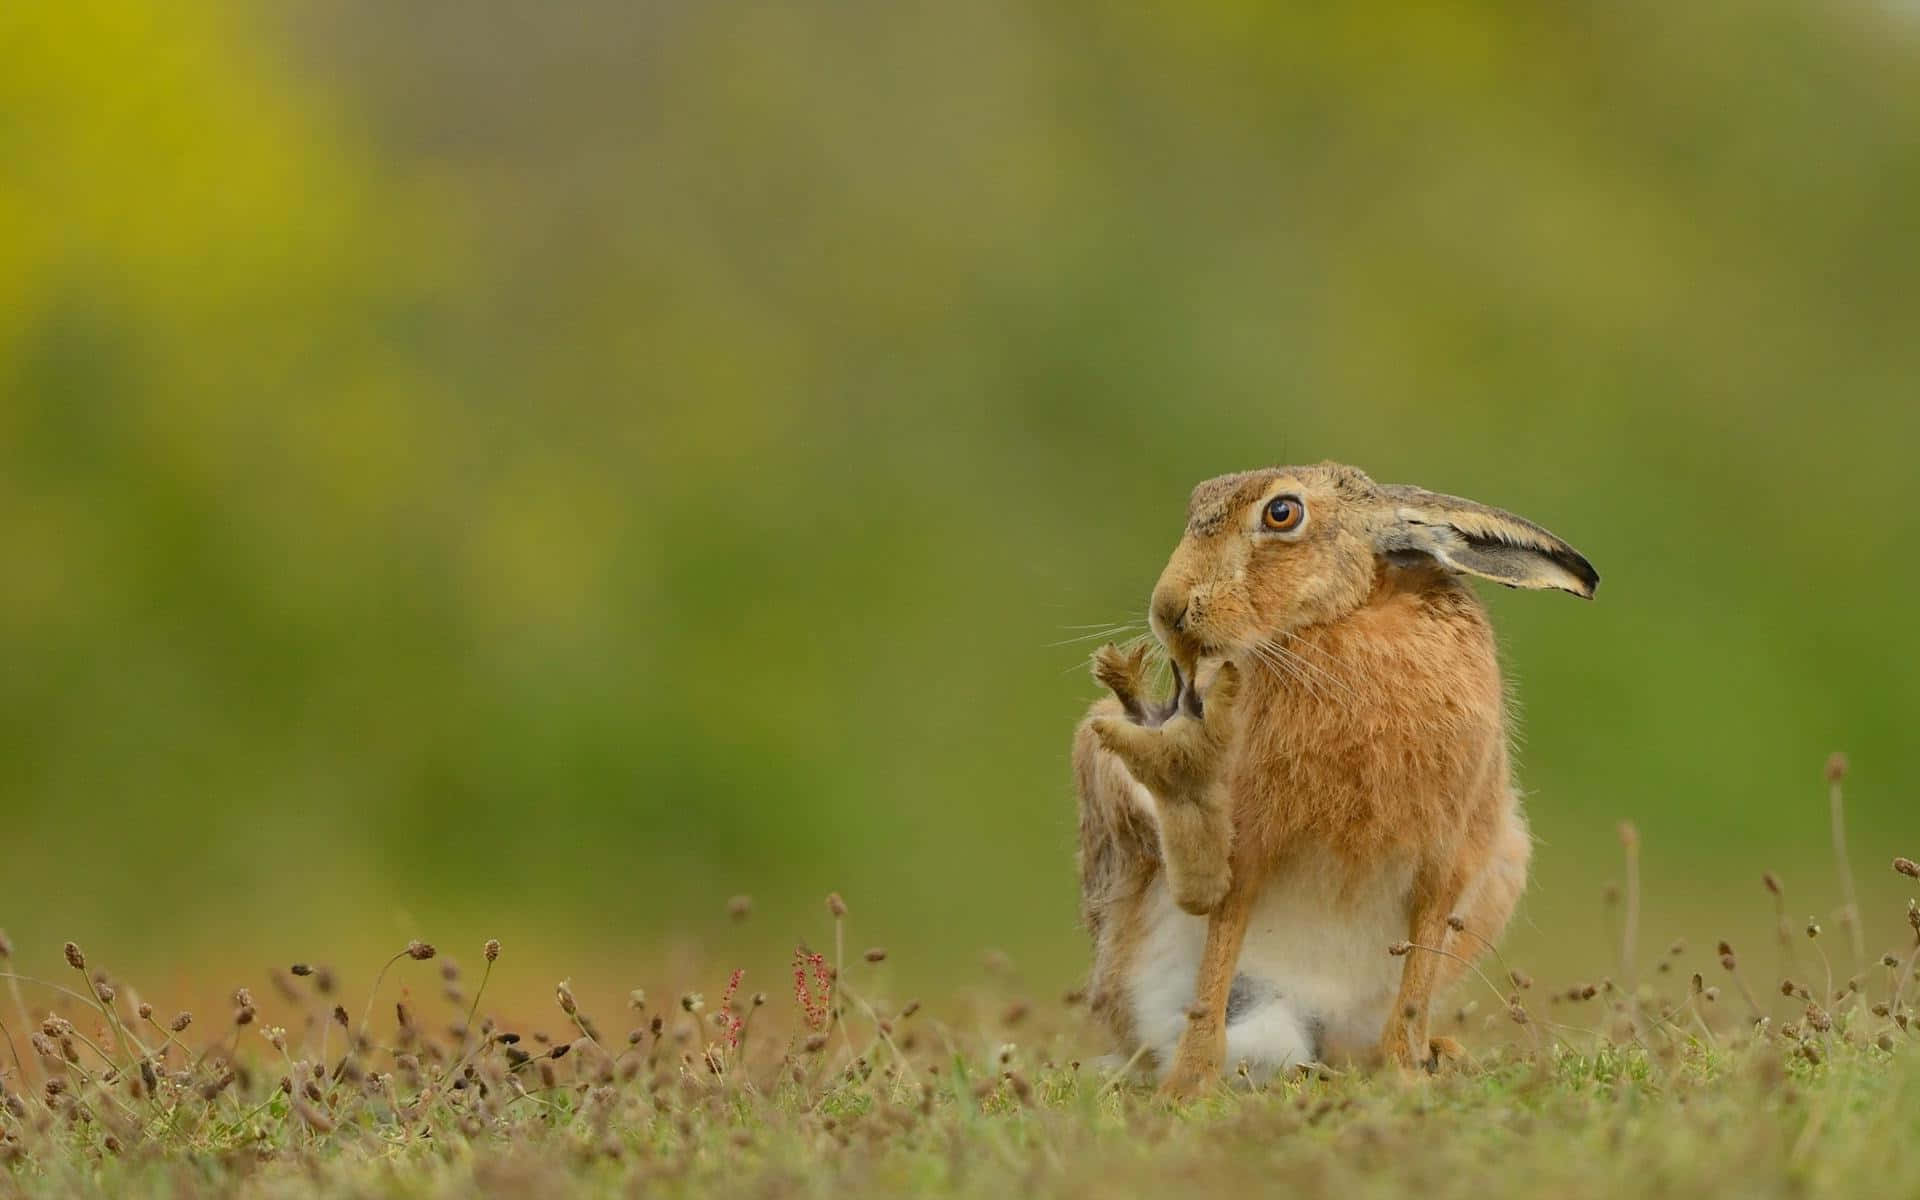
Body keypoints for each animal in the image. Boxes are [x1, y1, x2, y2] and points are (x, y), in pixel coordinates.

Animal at [1071, 462, 1596, 1095]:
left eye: (1282, 513)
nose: (1167, 612)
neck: (1345, 619)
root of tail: (1299, 1014)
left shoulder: (1448, 859)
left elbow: (1418, 973)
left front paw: (1407, 1073)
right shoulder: (1251, 849)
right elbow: (1220, 942)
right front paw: (1191, 1084)